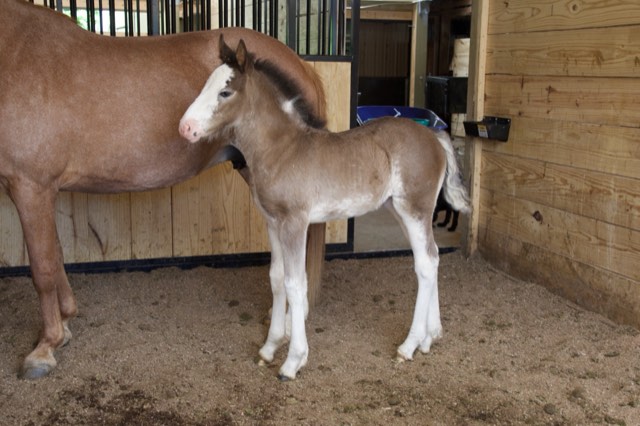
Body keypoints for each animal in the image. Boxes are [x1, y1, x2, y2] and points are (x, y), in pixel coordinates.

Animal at [0, 0, 327, 379]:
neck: (14, 52)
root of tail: (300, 63)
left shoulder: (29, 186)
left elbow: (42, 269)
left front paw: (44, 348)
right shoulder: (43, 189)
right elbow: (55, 256)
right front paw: (65, 324)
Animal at [179, 37, 472, 380]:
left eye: (225, 92)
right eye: (205, 84)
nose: (185, 127)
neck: (283, 150)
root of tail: (436, 135)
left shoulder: (295, 223)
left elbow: (295, 284)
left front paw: (293, 361)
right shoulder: (272, 222)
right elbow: (276, 278)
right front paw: (269, 348)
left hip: (414, 209)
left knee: (425, 264)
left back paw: (409, 346)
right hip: (401, 211)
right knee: (432, 257)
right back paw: (430, 337)